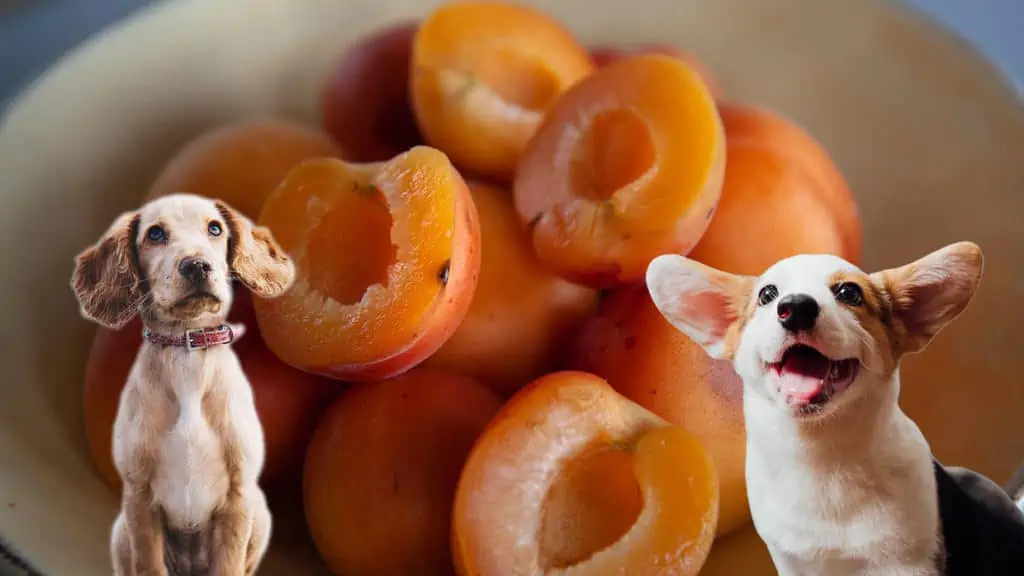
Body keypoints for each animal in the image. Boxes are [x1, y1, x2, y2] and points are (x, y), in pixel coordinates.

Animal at [647, 242, 1024, 573]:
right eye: (767, 294)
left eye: (849, 293)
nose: (795, 307)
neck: (822, 458)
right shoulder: (792, 562)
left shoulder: (906, 564)